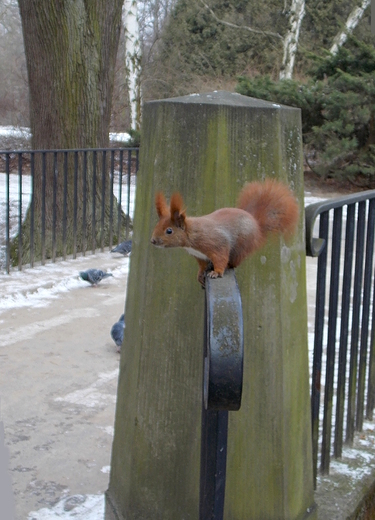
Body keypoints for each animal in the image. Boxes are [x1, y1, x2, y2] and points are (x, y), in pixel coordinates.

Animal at [150, 178, 300, 284]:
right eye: (157, 225)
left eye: (169, 231)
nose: (153, 241)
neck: (191, 236)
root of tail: (256, 224)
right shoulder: (199, 255)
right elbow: (202, 265)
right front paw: (200, 273)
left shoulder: (216, 243)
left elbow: (220, 258)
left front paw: (216, 272)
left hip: (242, 247)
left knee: (233, 262)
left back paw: (229, 265)